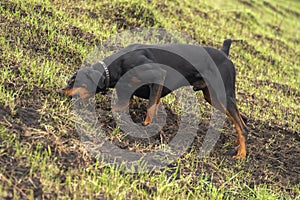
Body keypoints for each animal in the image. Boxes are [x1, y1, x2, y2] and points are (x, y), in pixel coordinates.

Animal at [58, 39, 248, 158]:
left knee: (243, 126)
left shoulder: (158, 76)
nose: (59, 92)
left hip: (223, 95)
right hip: (212, 97)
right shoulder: (129, 93)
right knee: (240, 120)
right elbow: (123, 107)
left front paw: (146, 130)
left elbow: (150, 110)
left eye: (74, 81)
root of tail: (224, 54)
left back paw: (241, 155)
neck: (118, 65)